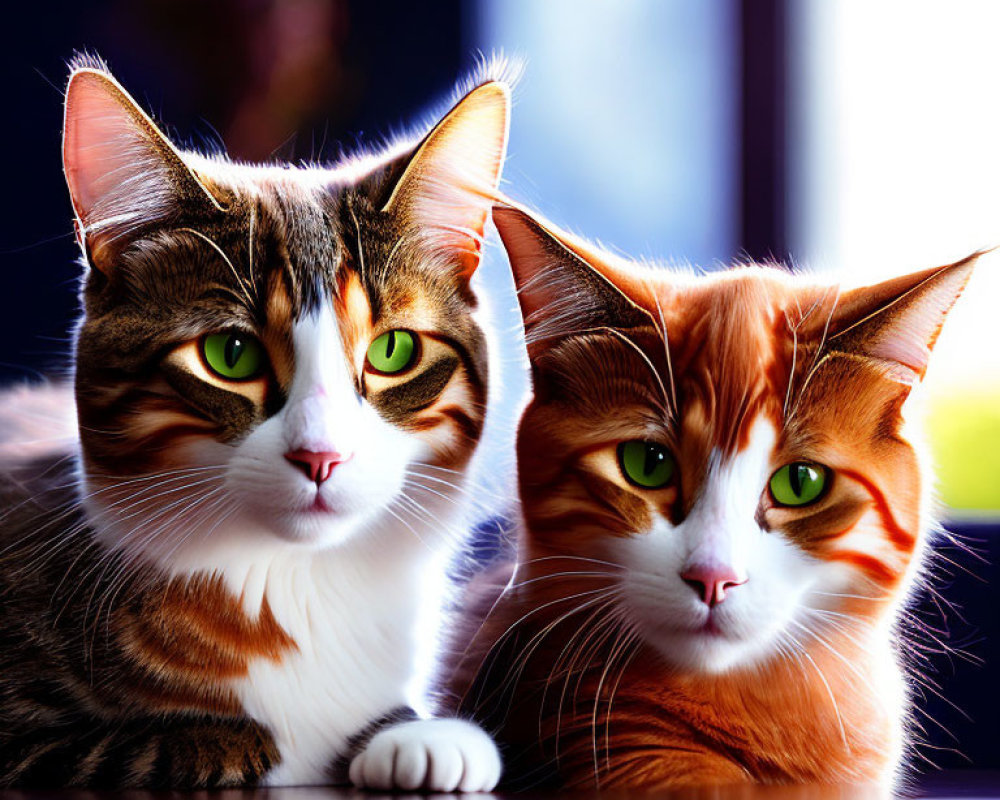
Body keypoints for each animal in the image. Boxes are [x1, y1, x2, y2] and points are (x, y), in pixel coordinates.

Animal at [0, 57, 508, 792]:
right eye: (230, 354)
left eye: (393, 351)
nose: (321, 456)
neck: (288, 581)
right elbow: (157, 746)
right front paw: (247, 738)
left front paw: (418, 735)